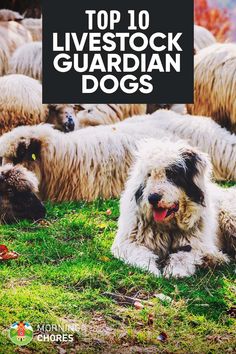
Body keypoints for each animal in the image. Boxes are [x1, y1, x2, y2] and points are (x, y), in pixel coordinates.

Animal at [111, 139, 231, 280]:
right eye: (149, 174)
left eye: (171, 174)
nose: (152, 198)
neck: (168, 226)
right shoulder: (128, 242)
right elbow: (141, 254)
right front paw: (151, 270)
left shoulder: (194, 244)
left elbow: (182, 256)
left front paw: (175, 271)